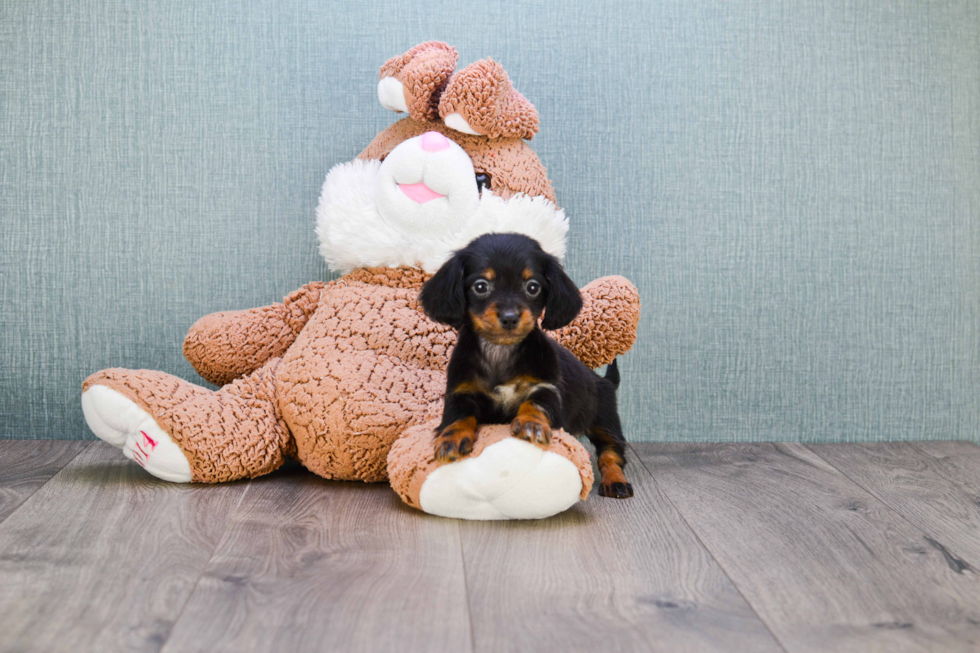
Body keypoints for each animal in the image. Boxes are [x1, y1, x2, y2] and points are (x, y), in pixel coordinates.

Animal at [416, 234, 632, 500]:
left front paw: (532, 424)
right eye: (480, 286)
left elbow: (535, 404)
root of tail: (603, 380)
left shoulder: (546, 389)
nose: (510, 318)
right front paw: (452, 438)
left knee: (611, 453)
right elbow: (459, 415)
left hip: (606, 421)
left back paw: (616, 481)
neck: (500, 351)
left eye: (532, 287)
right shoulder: (461, 392)